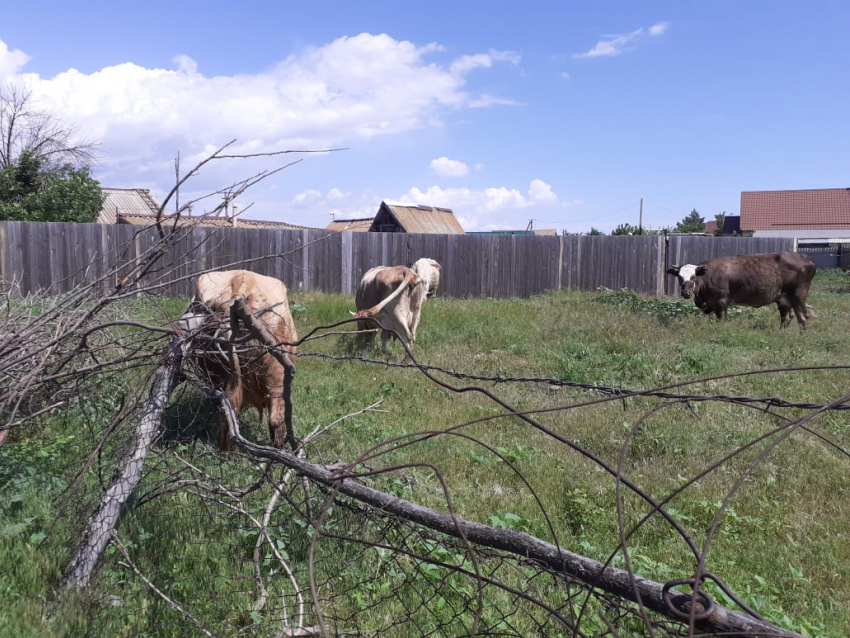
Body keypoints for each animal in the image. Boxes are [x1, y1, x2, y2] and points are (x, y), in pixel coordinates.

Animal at [664, 251, 816, 328]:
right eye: (679, 276)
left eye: (694, 276)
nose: (685, 293)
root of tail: (806, 257)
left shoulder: (720, 302)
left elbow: (721, 320)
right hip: (784, 298)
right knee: (787, 317)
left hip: (799, 296)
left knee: (802, 317)